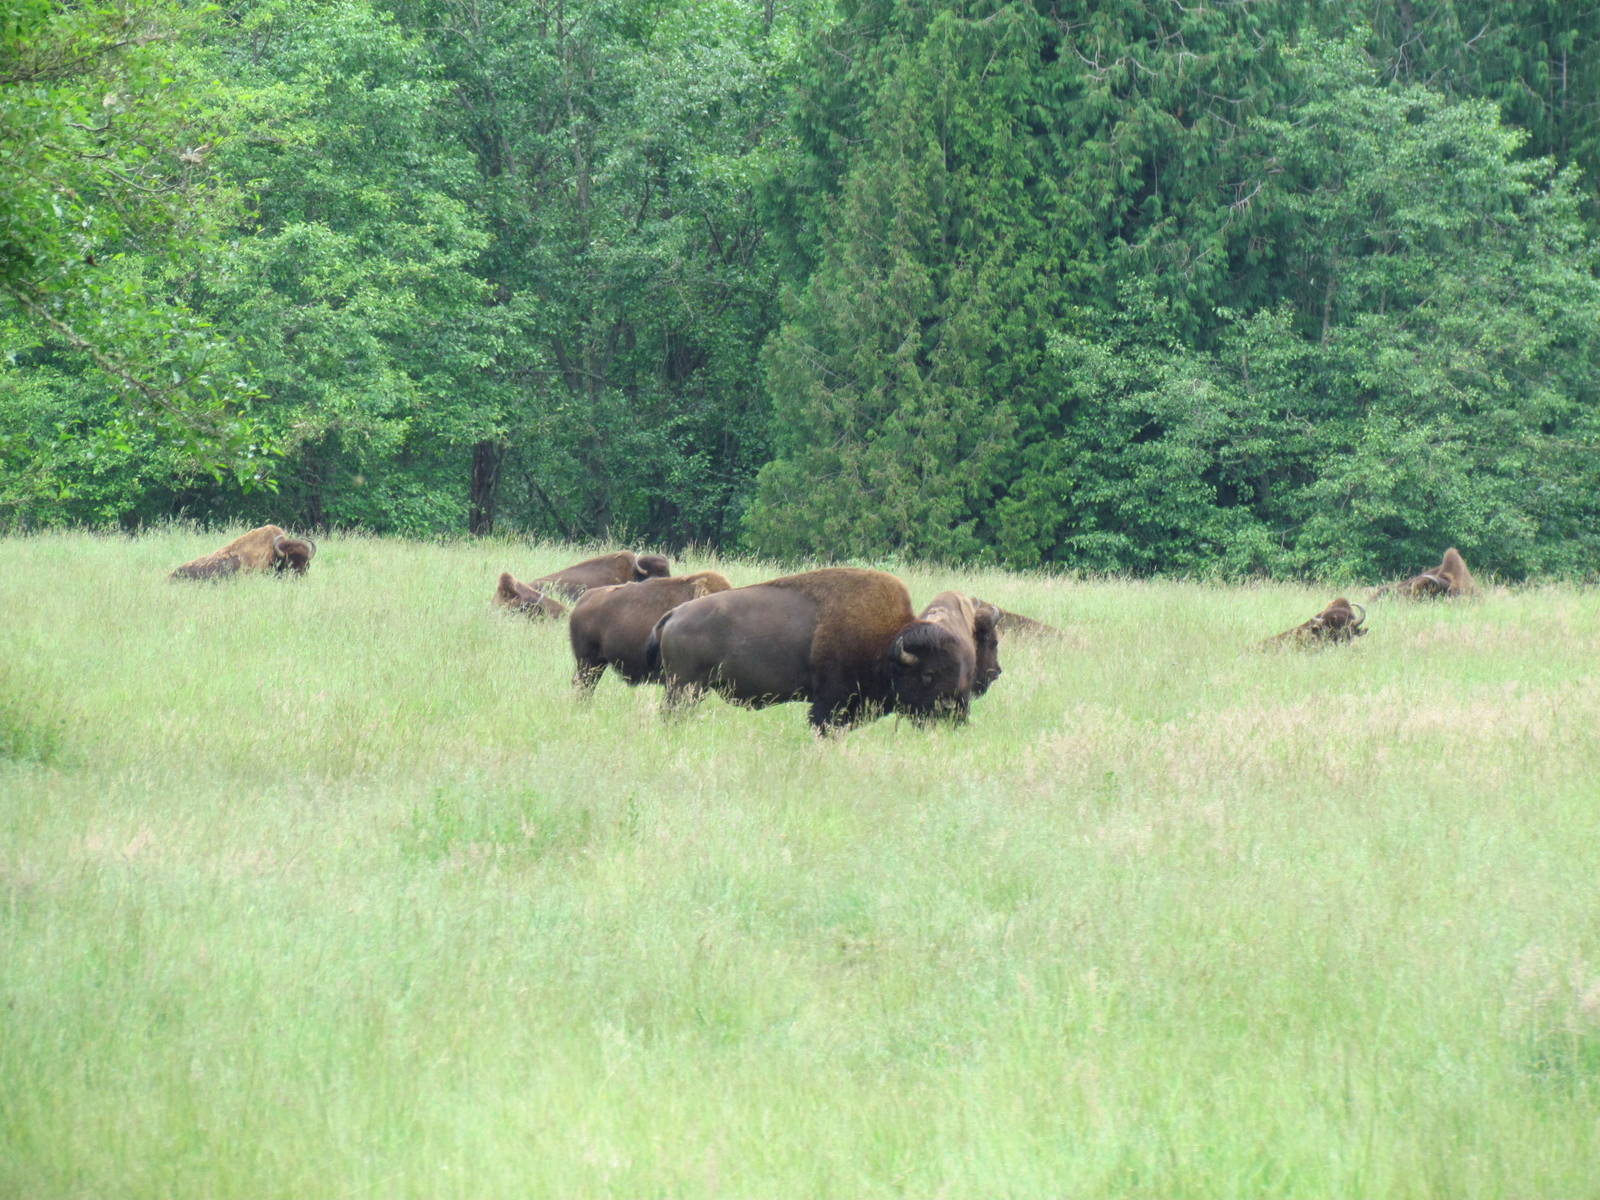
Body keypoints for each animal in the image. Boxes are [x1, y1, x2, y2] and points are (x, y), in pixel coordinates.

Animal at [644, 567, 988, 730]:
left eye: (962, 672)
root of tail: (673, 615)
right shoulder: (830, 702)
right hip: (684, 688)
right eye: (929, 675)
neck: (887, 642)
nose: (955, 715)